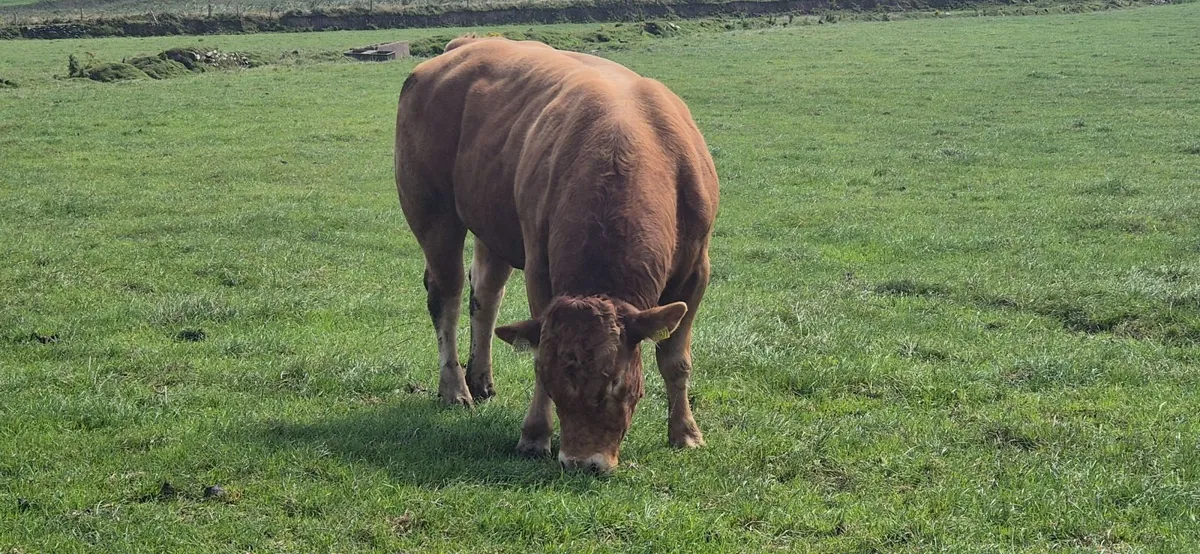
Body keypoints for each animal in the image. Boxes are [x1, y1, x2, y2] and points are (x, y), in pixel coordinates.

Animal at [394, 36, 719, 473]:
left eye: (615, 383)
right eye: (554, 381)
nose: (582, 462)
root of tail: (466, 44)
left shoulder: (696, 270)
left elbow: (675, 360)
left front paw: (685, 433)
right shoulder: (539, 266)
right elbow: (536, 346)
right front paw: (534, 436)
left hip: (493, 222)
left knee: (486, 293)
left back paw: (481, 379)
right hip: (434, 215)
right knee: (447, 296)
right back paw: (455, 387)